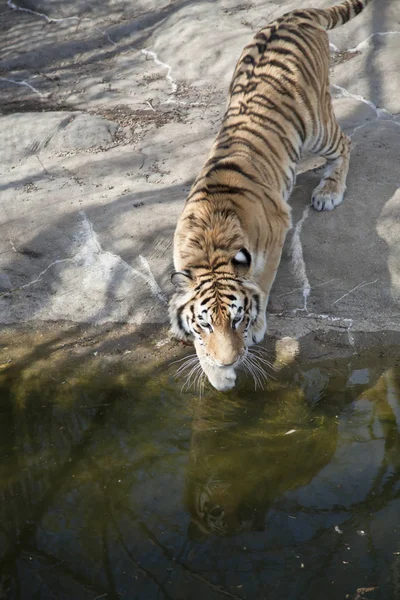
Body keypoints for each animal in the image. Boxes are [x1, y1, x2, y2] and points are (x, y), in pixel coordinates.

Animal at [168, 1, 368, 394]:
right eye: (206, 324)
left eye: (237, 319)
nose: (228, 361)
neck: (211, 246)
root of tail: (295, 14)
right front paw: (217, 374)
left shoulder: (277, 230)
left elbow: (261, 282)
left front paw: (257, 329)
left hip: (316, 126)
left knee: (345, 142)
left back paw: (329, 192)